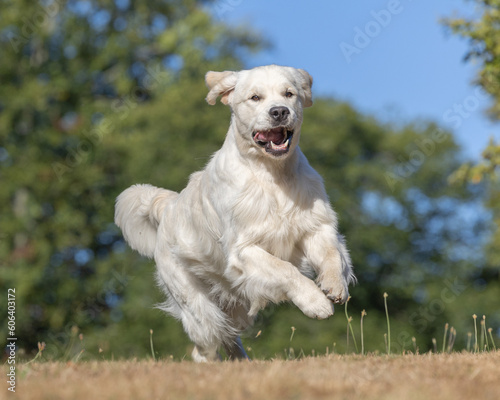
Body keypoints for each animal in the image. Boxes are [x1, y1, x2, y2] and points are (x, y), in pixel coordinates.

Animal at [114, 65, 354, 362]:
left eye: (289, 94)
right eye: (255, 97)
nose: (279, 111)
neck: (273, 175)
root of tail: (168, 204)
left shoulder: (314, 226)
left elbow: (332, 254)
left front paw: (335, 285)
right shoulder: (244, 249)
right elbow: (285, 269)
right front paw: (315, 303)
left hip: (235, 306)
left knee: (229, 336)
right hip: (199, 308)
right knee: (205, 345)